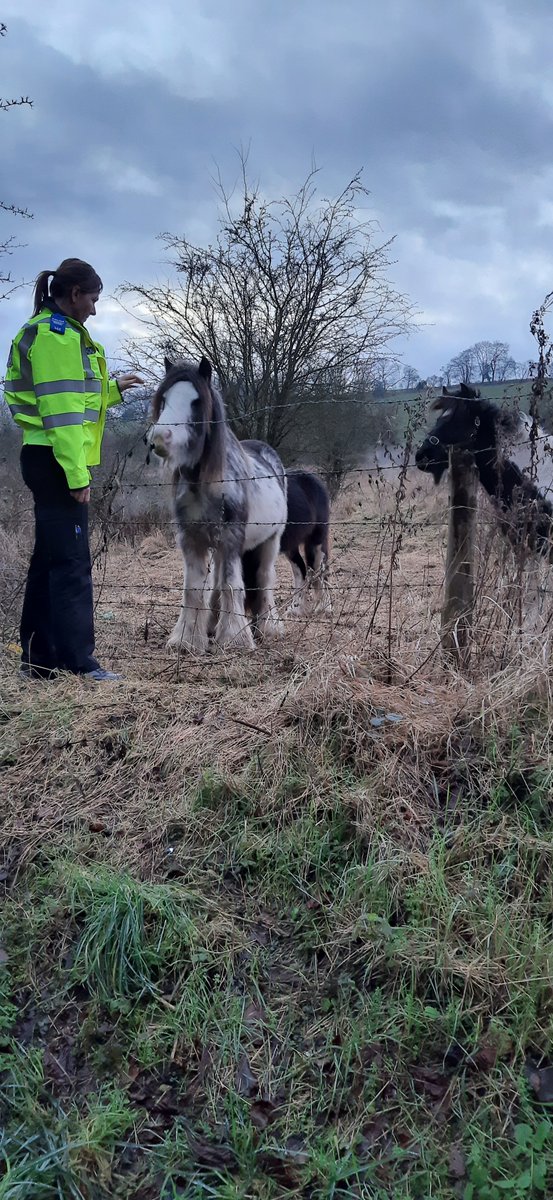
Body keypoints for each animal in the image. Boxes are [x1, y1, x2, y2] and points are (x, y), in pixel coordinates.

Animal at [150, 356, 287, 653]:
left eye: (196, 401)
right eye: (164, 399)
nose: (159, 438)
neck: (204, 483)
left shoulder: (232, 538)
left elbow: (232, 585)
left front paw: (235, 638)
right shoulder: (191, 540)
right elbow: (194, 588)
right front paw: (187, 639)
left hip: (270, 541)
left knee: (264, 579)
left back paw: (269, 627)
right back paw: (213, 625)